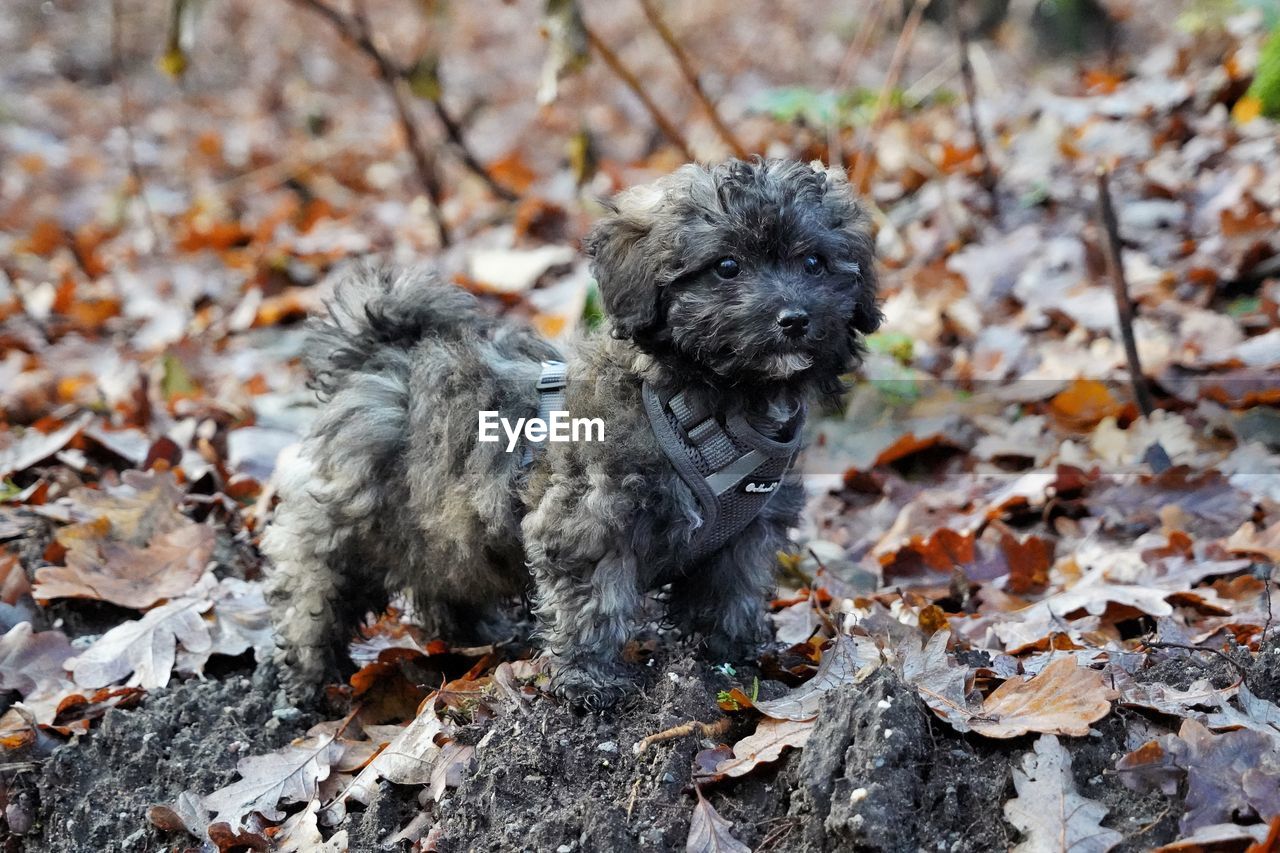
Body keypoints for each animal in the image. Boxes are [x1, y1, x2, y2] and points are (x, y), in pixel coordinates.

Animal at [259, 157, 880, 701]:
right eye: (727, 266)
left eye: (814, 263)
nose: (794, 319)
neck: (705, 400)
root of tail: (377, 351)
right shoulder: (589, 517)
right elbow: (595, 602)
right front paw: (589, 681)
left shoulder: (746, 533)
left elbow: (732, 592)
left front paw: (734, 660)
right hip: (350, 518)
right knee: (314, 585)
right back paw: (313, 677)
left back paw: (481, 636)